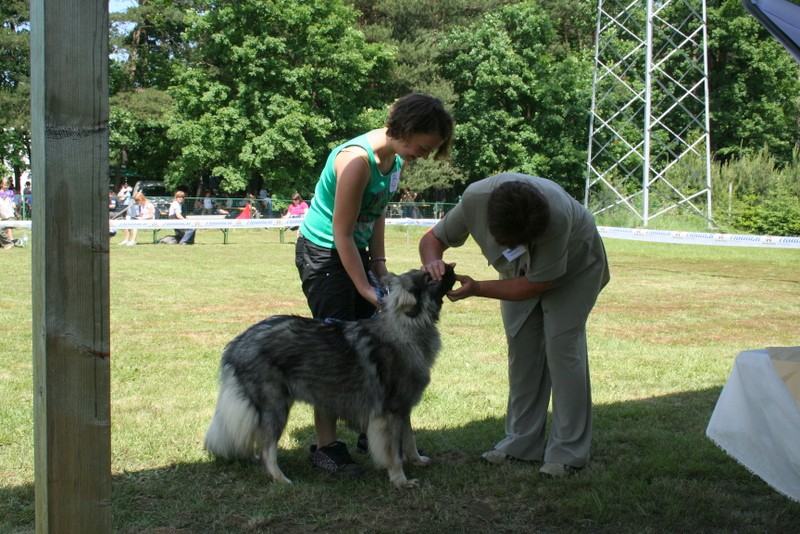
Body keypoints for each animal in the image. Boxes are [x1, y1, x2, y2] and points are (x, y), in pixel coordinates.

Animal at [205, 266, 456, 492]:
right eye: (430, 276)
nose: (452, 266)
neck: (407, 326)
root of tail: (236, 345)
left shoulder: (403, 409)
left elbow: (409, 439)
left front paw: (417, 460)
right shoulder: (391, 413)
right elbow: (394, 451)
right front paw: (400, 480)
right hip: (276, 407)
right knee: (267, 446)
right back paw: (280, 479)